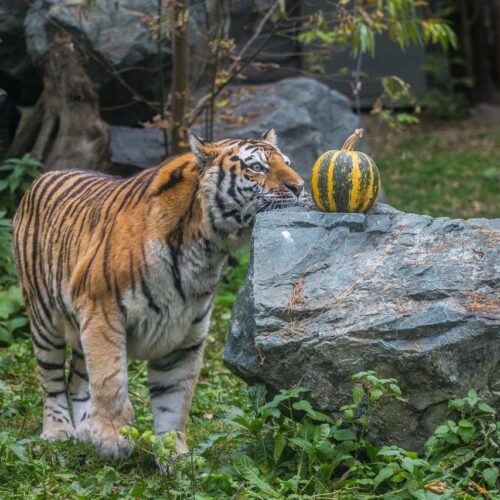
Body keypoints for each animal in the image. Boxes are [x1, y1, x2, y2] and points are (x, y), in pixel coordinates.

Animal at [11, 129, 304, 458]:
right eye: (256, 168)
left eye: (287, 163)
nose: (299, 187)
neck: (205, 249)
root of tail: (45, 174)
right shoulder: (103, 314)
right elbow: (111, 381)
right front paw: (113, 440)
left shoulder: (185, 337)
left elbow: (174, 402)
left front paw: (174, 457)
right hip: (44, 320)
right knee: (50, 379)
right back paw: (58, 431)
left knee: (78, 378)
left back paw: (86, 429)